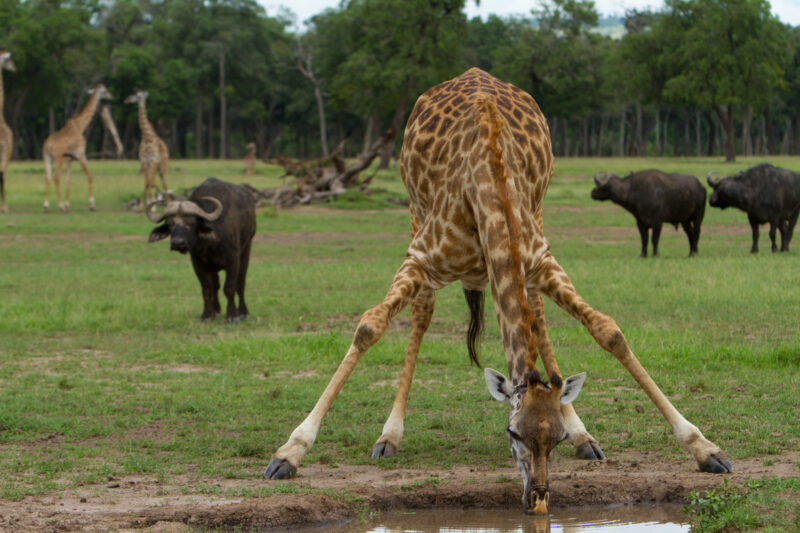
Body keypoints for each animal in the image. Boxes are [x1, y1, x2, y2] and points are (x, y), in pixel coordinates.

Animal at [42, 83, 119, 213]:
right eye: (105, 91)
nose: (112, 96)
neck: (80, 125)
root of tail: (47, 146)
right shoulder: (81, 154)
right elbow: (90, 176)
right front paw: (92, 205)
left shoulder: (70, 159)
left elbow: (68, 180)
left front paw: (67, 204)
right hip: (59, 158)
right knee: (56, 177)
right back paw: (60, 206)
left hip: (48, 158)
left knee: (47, 177)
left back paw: (46, 206)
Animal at [264, 69, 731, 513]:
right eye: (513, 432)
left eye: (556, 439)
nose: (538, 499)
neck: (488, 181)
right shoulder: (421, 257)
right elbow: (369, 326)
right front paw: (289, 452)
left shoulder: (539, 257)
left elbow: (608, 331)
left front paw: (703, 448)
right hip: (415, 213)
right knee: (422, 314)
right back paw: (389, 436)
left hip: (536, 223)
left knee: (538, 316)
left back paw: (588, 434)